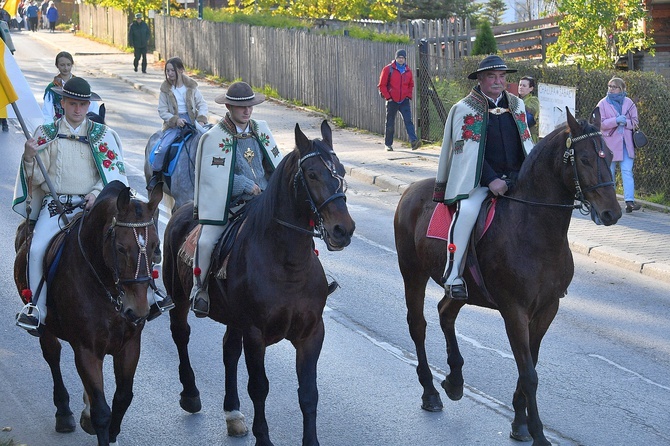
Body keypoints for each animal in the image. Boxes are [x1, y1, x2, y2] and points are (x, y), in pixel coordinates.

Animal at [13, 181, 163, 446]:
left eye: (156, 246)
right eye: (121, 248)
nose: (137, 311)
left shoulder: (130, 345)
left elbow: (123, 397)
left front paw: (112, 433)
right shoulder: (87, 349)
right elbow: (102, 411)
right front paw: (100, 424)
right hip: (46, 328)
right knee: (52, 356)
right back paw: (64, 412)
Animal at [163, 119, 356, 446]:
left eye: (340, 171)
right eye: (312, 174)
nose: (343, 230)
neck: (288, 265)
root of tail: (183, 208)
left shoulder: (311, 333)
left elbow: (308, 393)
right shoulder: (256, 334)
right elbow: (259, 387)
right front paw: (263, 438)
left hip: (233, 317)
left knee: (229, 350)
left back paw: (233, 413)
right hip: (178, 296)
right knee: (181, 333)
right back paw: (190, 394)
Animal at [394, 109, 624, 446]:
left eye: (608, 155)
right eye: (583, 158)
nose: (612, 213)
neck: (534, 229)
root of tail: (410, 190)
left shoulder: (546, 309)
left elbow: (529, 365)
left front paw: (520, 422)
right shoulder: (514, 311)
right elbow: (529, 373)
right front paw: (538, 433)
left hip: (464, 288)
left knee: (446, 313)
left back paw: (455, 379)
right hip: (413, 273)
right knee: (417, 325)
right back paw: (430, 391)